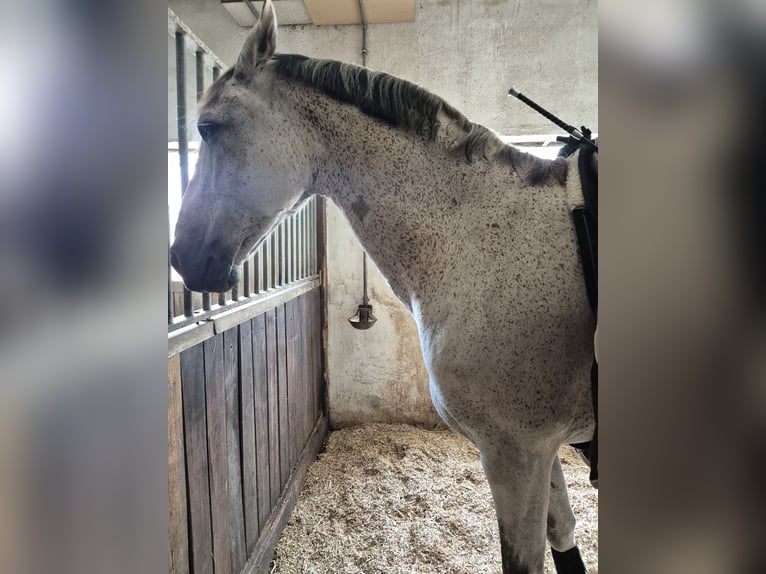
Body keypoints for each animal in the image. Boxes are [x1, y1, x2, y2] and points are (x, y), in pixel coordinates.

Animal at [171, 2, 596, 572]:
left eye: (209, 127)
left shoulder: (517, 453)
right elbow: (563, 533)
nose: (181, 257)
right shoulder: (541, 451)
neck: (485, 239)